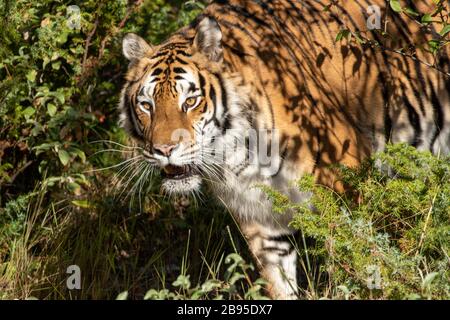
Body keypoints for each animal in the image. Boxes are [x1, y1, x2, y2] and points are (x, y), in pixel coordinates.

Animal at [118, 0, 450, 300]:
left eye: (190, 101)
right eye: (146, 105)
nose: (164, 149)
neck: (234, 155)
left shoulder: (345, 192)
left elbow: (357, 266)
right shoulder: (261, 217)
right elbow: (279, 281)